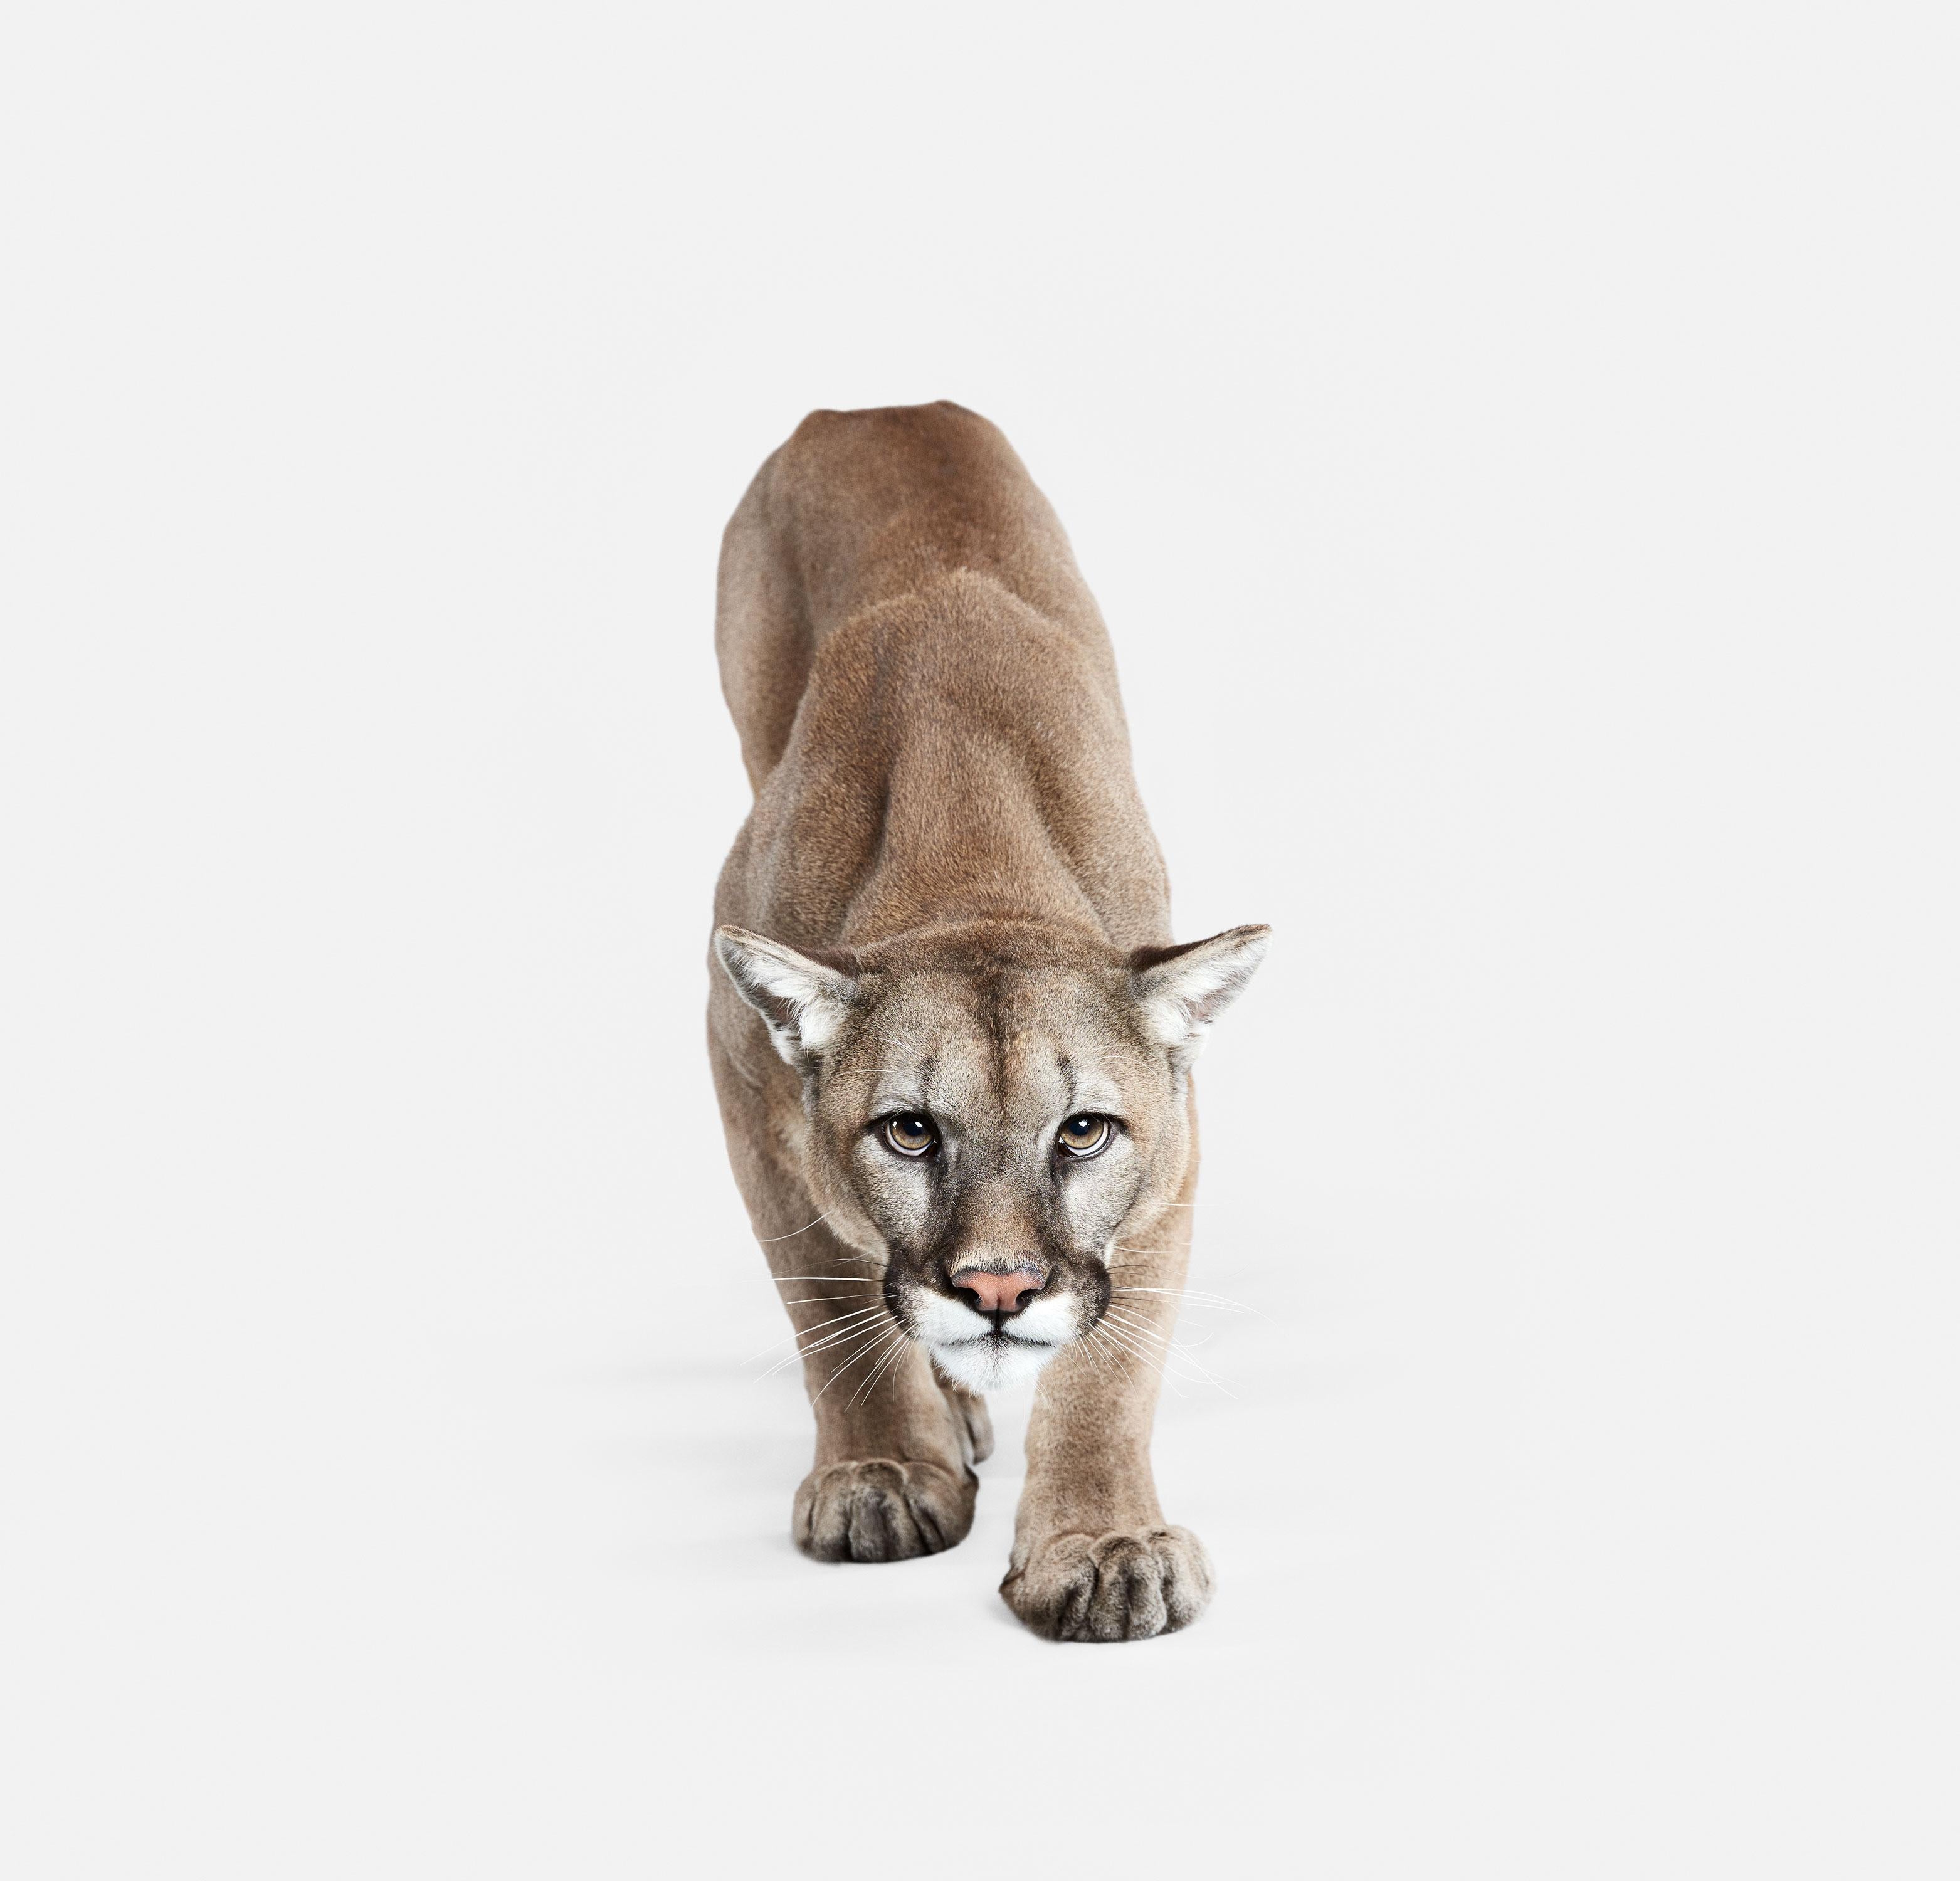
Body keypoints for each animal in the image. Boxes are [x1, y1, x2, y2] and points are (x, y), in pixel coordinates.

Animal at [707, 402, 1268, 1641]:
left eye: (1083, 1130)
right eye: (909, 1131)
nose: (1000, 1292)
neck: (969, 858)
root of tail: (871, 405)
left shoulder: (1176, 1141)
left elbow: (1114, 1363)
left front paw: (1101, 1545)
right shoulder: (742, 1071)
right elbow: (823, 1290)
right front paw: (879, 1471)